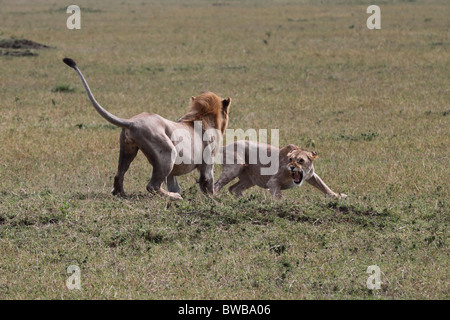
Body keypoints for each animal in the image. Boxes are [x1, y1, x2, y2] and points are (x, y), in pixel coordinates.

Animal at [63, 56, 232, 199]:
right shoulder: (208, 160)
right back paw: (175, 197)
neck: (201, 116)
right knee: (152, 186)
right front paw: (215, 197)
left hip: (127, 150)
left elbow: (173, 182)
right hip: (168, 152)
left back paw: (121, 194)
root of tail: (132, 122)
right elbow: (208, 181)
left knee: (119, 175)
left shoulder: (174, 171)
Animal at [214, 141, 348, 199]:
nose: (292, 167)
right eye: (290, 159)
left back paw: (246, 200)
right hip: (235, 167)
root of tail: (225, 146)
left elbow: (323, 186)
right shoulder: (272, 182)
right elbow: (278, 196)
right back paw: (216, 197)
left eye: (301, 160)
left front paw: (338, 196)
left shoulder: (311, 175)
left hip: (249, 180)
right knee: (216, 185)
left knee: (234, 188)